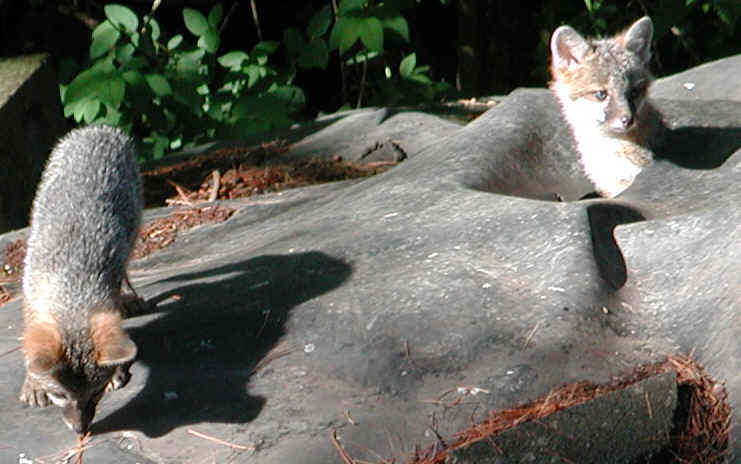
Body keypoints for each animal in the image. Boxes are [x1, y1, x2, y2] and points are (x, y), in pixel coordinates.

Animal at [20, 125, 142, 435]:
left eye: (95, 393)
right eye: (59, 395)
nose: (80, 431)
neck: (71, 278)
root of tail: (96, 128)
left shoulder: (108, 288)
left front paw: (118, 370)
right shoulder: (31, 290)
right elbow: (32, 337)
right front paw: (32, 381)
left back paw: (131, 297)